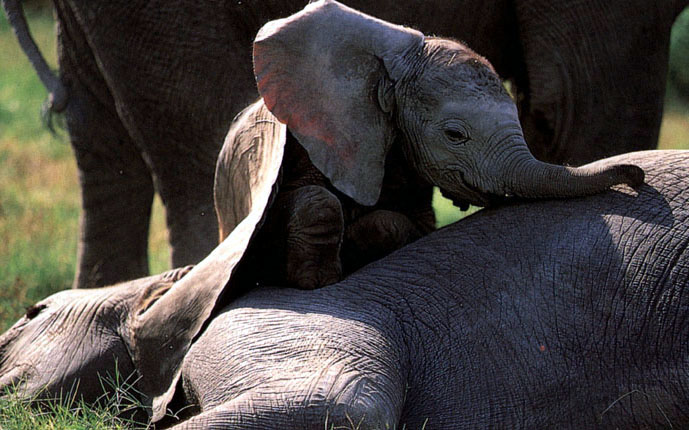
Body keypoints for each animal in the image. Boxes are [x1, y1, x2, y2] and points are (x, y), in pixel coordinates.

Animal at [215, 0, 644, 288]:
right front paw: (318, 282)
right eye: (454, 135)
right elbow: (310, 203)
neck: (387, 75)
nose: (637, 178)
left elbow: (400, 224)